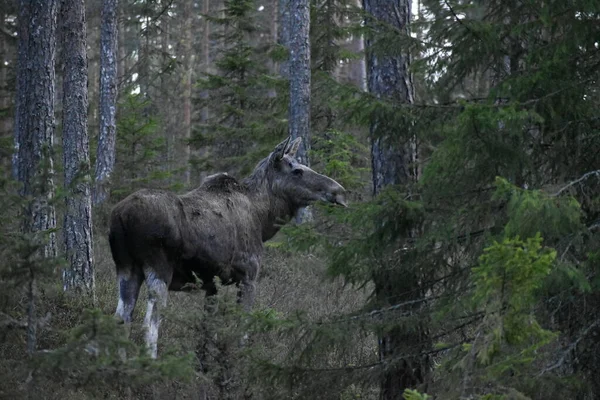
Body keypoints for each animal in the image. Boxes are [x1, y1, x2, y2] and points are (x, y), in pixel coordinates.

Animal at [109, 137, 346, 356]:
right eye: (297, 171)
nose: (340, 191)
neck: (263, 219)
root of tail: (121, 217)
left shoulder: (211, 285)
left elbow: (207, 332)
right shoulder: (248, 277)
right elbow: (242, 331)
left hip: (126, 267)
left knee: (120, 319)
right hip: (159, 269)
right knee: (149, 324)